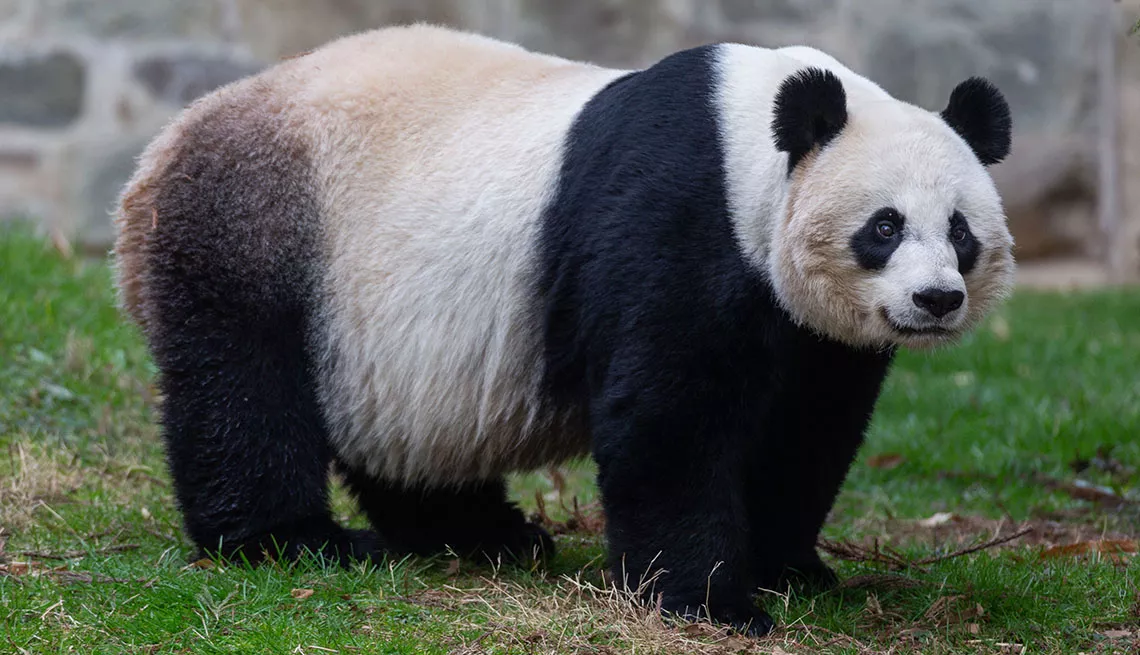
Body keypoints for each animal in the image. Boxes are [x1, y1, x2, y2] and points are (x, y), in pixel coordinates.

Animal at [113, 24, 1014, 636]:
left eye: (961, 231)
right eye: (884, 227)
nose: (936, 299)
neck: (754, 148)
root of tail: (157, 156)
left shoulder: (810, 334)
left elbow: (805, 429)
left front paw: (790, 567)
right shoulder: (677, 220)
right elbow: (668, 416)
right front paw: (710, 601)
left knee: (399, 435)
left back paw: (486, 535)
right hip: (256, 229)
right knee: (242, 389)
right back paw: (297, 541)